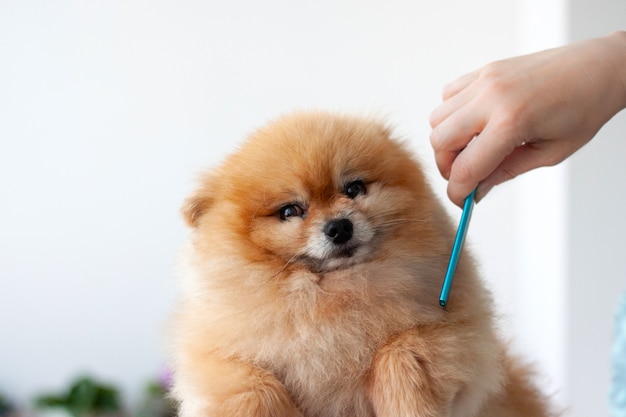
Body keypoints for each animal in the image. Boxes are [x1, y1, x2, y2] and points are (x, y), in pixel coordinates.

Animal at [171, 111, 552, 416]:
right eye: (290, 211)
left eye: (353, 189)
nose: (339, 226)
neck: (334, 296)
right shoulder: (214, 360)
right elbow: (252, 384)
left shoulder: (459, 334)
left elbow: (400, 351)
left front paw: (408, 405)